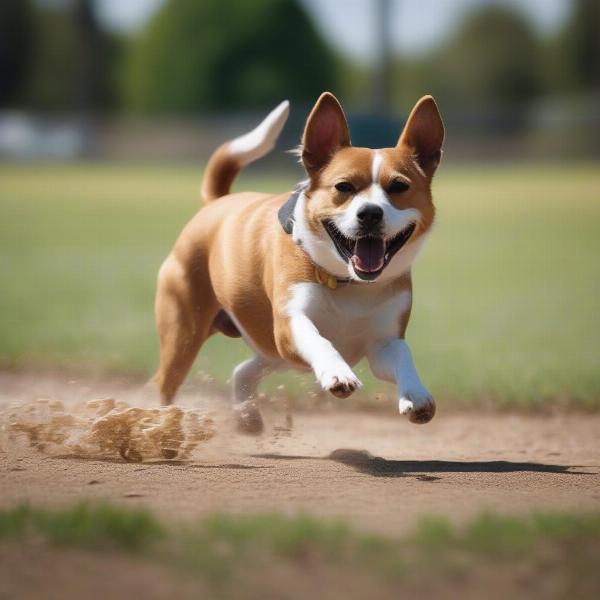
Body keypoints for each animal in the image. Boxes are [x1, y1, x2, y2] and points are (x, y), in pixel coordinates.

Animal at [154, 92, 446, 432]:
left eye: (399, 186)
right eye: (343, 187)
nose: (371, 213)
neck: (348, 283)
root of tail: (217, 202)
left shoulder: (383, 343)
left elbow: (403, 356)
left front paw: (416, 394)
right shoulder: (290, 323)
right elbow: (320, 340)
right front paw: (338, 372)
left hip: (271, 352)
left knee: (242, 370)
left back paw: (247, 416)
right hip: (184, 333)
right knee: (164, 383)